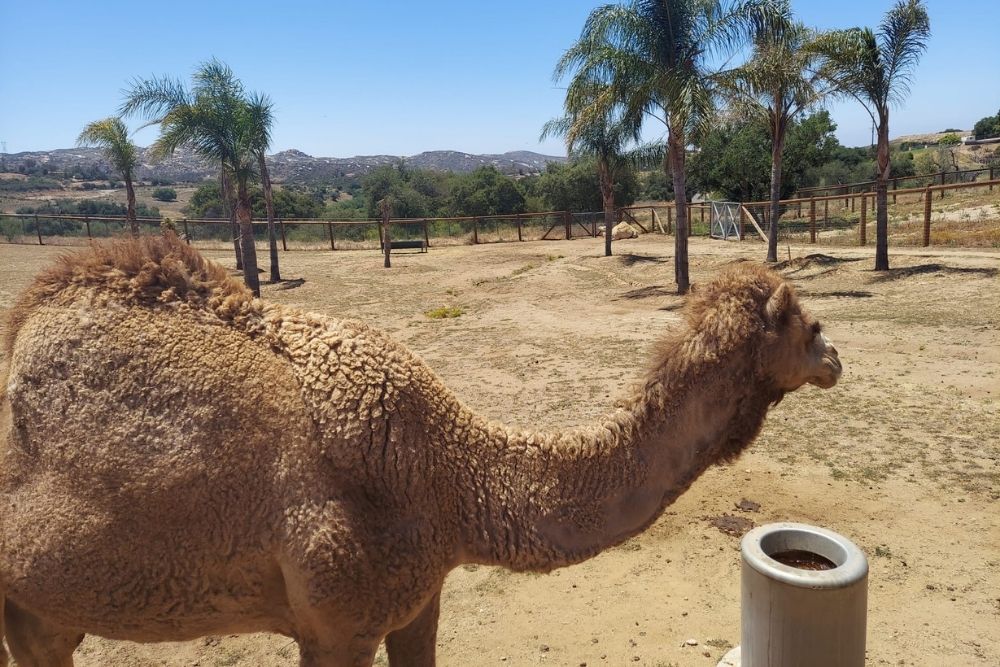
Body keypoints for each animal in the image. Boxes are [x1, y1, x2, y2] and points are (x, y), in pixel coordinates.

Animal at [0, 234, 840, 664]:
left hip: (33, 605)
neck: (447, 480)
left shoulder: (419, 598)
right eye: (808, 322)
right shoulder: (337, 622)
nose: (836, 359)